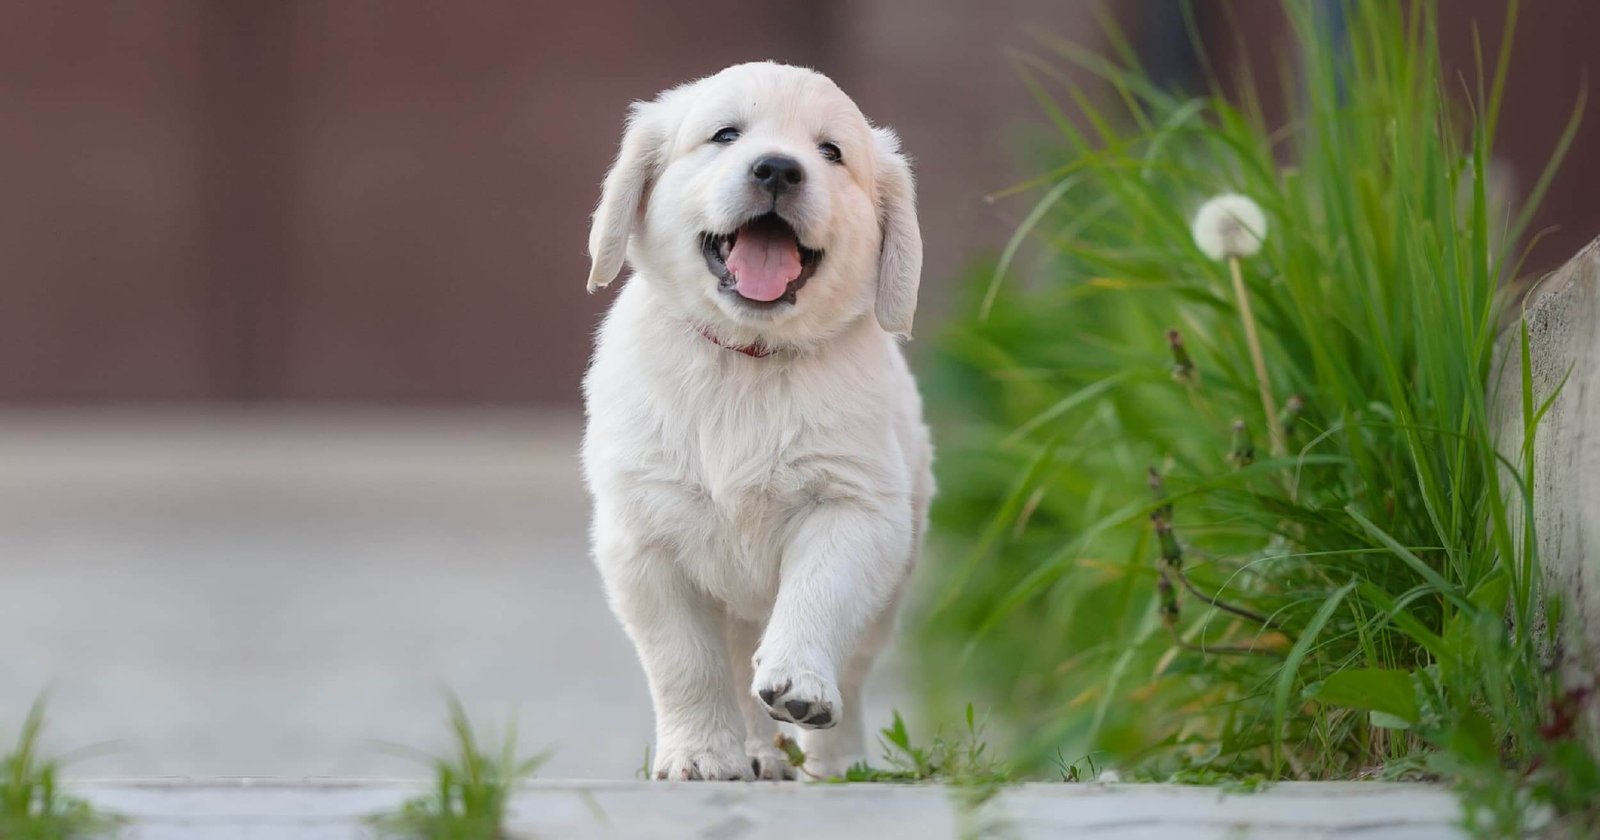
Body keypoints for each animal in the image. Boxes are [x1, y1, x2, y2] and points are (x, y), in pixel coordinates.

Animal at [582, 60, 934, 780]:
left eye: (831, 152)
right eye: (725, 135)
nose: (777, 169)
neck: (746, 357)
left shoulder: (854, 509)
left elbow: (817, 597)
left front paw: (800, 684)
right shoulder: (642, 538)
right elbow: (685, 662)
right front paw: (698, 754)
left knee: (848, 673)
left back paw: (835, 762)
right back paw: (751, 753)